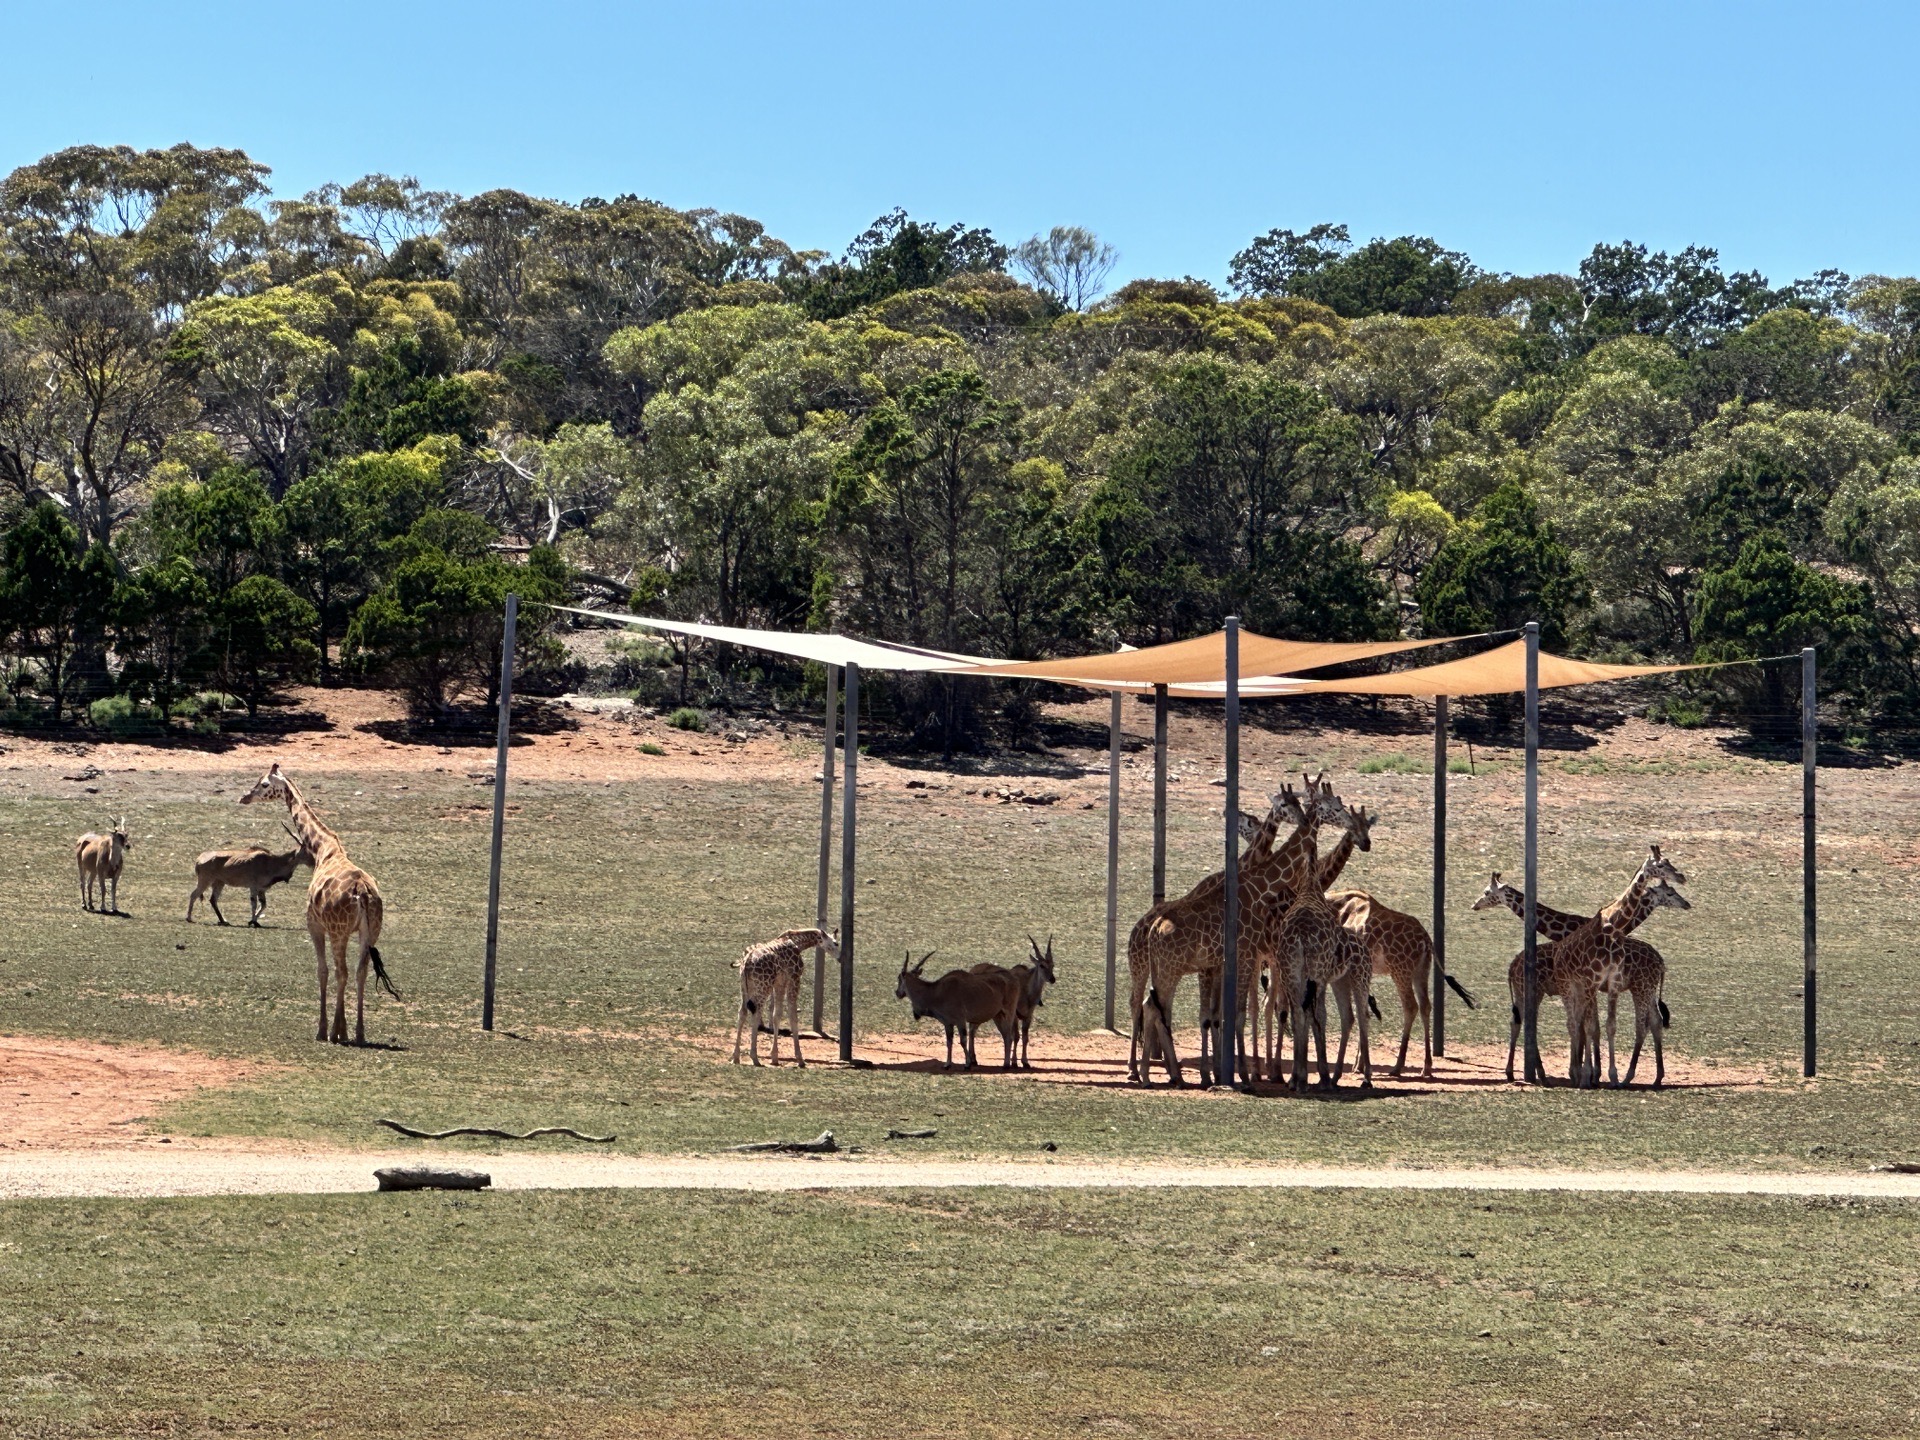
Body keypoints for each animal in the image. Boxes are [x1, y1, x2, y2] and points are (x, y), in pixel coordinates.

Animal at [243, 768, 401, 1052]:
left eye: (264, 784)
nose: (245, 797)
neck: (324, 851)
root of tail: (363, 892)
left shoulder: (314, 926)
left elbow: (322, 971)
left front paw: (324, 1030)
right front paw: (340, 1030)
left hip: (339, 931)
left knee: (342, 971)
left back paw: (339, 1033)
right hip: (371, 932)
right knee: (360, 972)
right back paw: (359, 1033)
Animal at [729, 929, 837, 1067]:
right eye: (836, 943)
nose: (839, 957)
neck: (797, 943)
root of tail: (747, 961)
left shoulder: (779, 983)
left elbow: (777, 1014)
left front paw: (774, 1057)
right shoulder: (793, 979)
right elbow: (792, 1016)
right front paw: (800, 1059)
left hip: (745, 988)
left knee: (742, 1013)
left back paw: (736, 1057)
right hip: (763, 986)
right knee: (756, 1013)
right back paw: (755, 1058)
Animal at [894, 960, 1029, 1075]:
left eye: (899, 978)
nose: (898, 993)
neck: (937, 991)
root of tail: (1013, 978)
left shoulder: (960, 1021)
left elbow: (963, 1041)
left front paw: (967, 1065)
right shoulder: (948, 1023)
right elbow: (949, 1042)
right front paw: (947, 1065)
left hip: (1009, 1013)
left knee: (1009, 1037)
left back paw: (1007, 1065)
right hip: (998, 1016)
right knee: (1006, 1036)